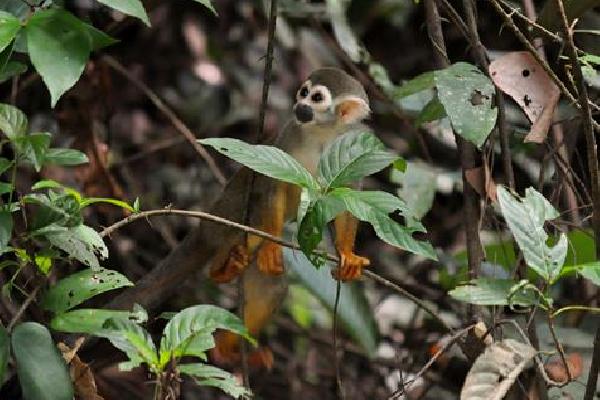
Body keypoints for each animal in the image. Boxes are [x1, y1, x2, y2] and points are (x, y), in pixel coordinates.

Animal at [208, 68, 372, 369]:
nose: (300, 105)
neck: (322, 132)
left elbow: (349, 199)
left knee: (271, 290)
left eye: (316, 98)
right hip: (225, 211)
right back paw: (221, 270)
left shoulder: (353, 145)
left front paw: (346, 253)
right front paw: (272, 244)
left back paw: (228, 346)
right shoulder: (288, 133)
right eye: (303, 91)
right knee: (253, 205)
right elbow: (275, 183)